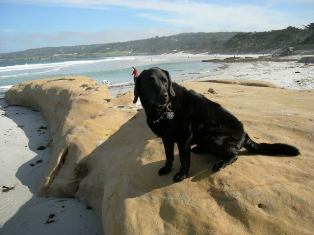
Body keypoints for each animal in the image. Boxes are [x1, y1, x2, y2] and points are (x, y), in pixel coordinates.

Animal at [133, 67, 300, 182]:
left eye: (165, 81)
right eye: (150, 82)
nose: (165, 96)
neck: (163, 111)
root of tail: (245, 134)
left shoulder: (184, 138)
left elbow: (183, 159)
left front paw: (182, 174)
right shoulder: (166, 139)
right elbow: (168, 156)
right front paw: (167, 168)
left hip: (212, 135)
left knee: (234, 154)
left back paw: (221, 163)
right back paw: (200, 148)